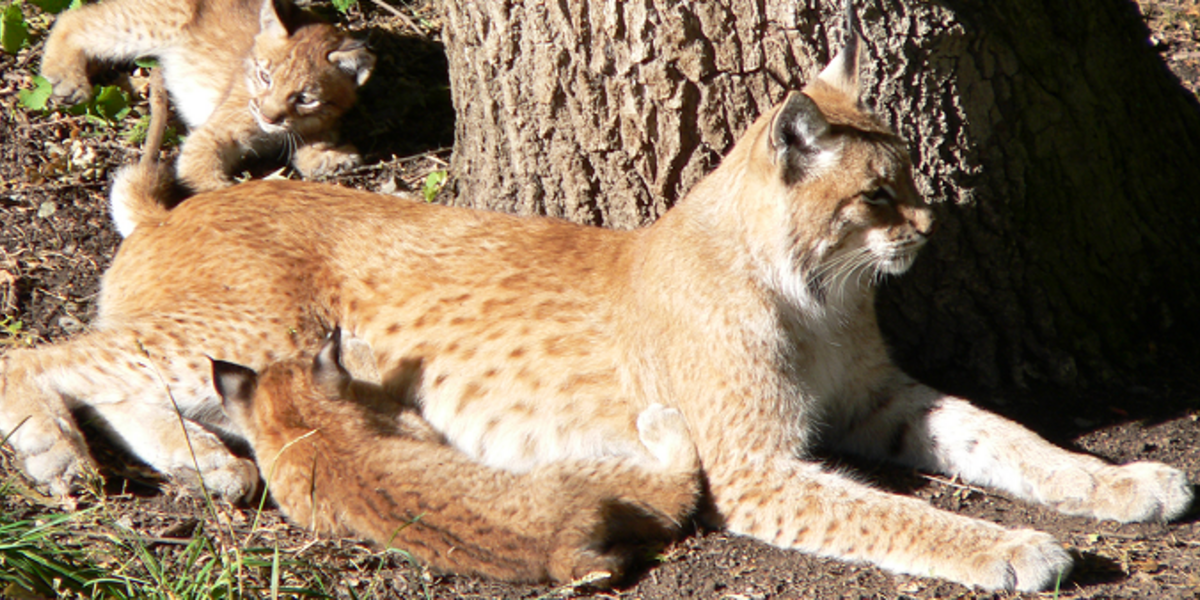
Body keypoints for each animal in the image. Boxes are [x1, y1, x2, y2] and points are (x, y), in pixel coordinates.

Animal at [39, 0, 372, 218]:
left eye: (304, 98)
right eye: (265, 77)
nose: (267, 115)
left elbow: (314, 137)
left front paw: (328, 155)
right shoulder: (212, 133)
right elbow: (198, 170)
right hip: (154, 23)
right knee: (74, 17)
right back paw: (67, 78)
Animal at [210, 331, 700, 583]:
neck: (298, 426)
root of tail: (554, 554)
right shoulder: (411, 422)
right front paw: (357, 348)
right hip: (586, 471)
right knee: (677, 492)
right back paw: (663, 423)